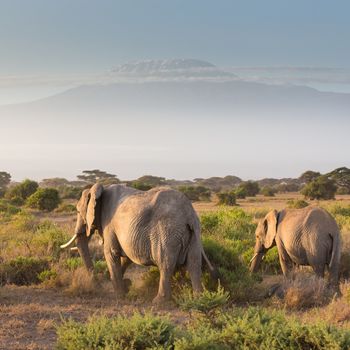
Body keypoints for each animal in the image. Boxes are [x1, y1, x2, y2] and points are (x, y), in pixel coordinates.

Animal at [61, 183, 217, 304]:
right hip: (193, 234)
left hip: (167, 231)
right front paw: (125, 287)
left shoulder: (109, 224)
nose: (97, 284)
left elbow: (111, 253)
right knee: (194, 263)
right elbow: (126, 258)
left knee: (165, 263)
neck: (100, 189)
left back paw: (159, 302)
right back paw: (199, 300)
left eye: (78, 211)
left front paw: (119, 296)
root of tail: (189, 214)